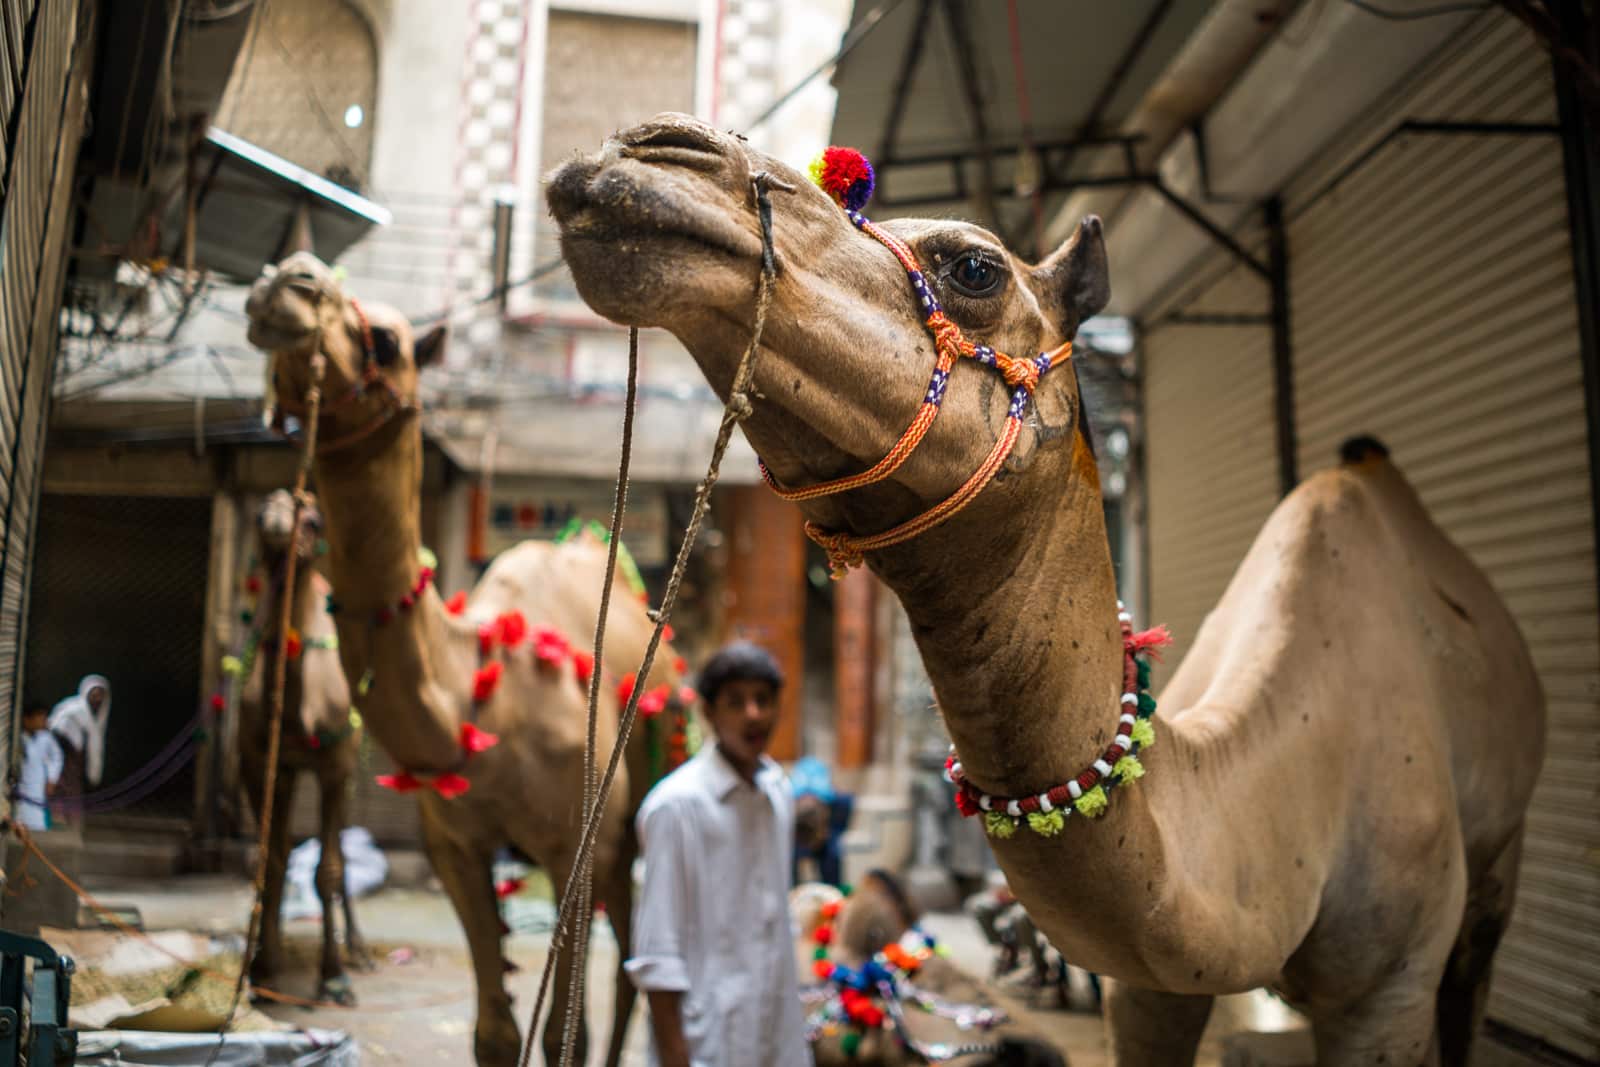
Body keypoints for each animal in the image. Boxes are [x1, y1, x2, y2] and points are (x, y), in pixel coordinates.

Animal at [233, 489, 368, 1004]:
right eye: (258, 514)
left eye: (313, 520)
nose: (276, 519)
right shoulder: (256, 762)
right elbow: (270, 863)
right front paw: (262, 970)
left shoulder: (335, 763)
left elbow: (326, 869)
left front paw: (333, 977)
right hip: (287, 774)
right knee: (285, 849)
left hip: (348, 762)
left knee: (342, 850)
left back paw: (359, 951)